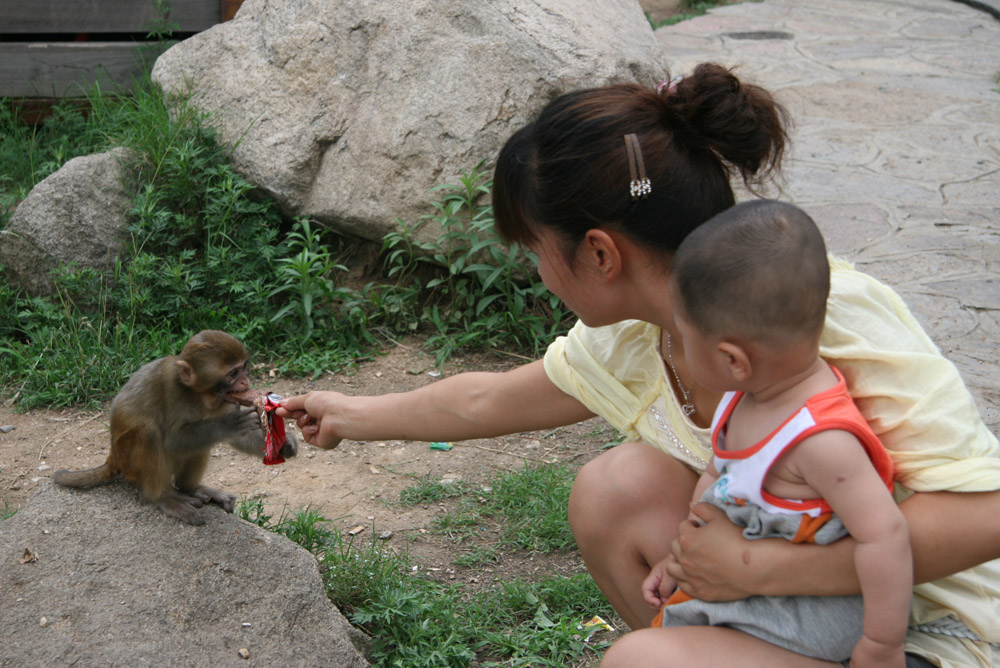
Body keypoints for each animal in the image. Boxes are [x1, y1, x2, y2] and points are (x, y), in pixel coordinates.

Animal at [53, 332, 296, 524]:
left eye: (244, 368)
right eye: (233, 373)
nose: (246, 383)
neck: (198, 394)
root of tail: (113, 457)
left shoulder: (227, 399)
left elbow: (234, 437)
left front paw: (285, 444)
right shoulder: (174, 392)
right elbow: (174, 440)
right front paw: (230, 423)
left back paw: (190, 487)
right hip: (129, 460)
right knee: (148, 432)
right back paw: (162, 497)